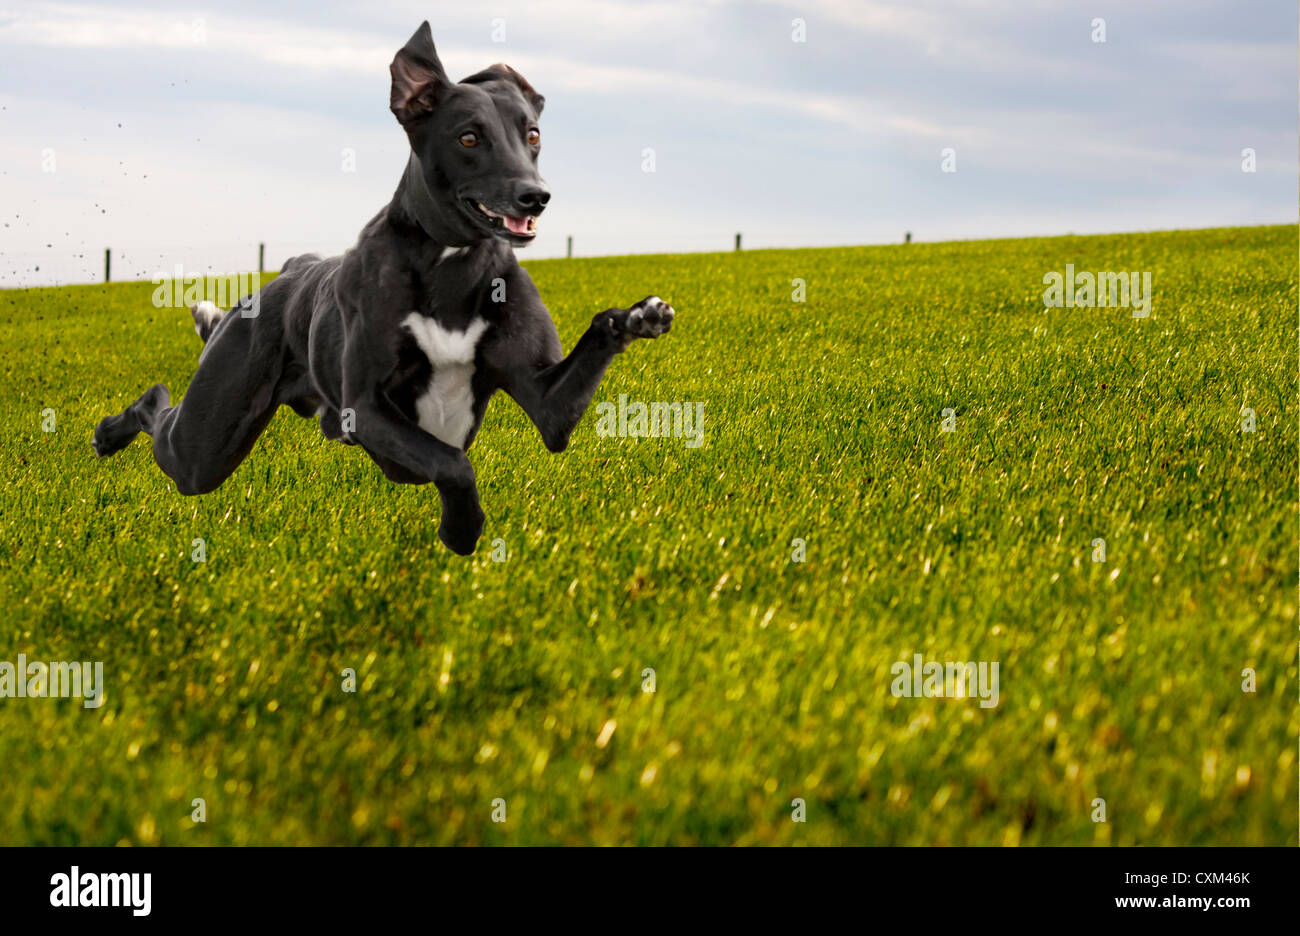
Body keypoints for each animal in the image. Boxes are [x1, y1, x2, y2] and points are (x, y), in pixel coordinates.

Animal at [96, 21, 676, 556]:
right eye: (469, 137)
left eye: (531, 135)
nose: (536, 196)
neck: (450, 266)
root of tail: (288, 270)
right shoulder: (368, 409)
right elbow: (453, 461)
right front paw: (462, 529)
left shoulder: (548, 405)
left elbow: (585, 354)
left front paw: (639, 316)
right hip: (205, 444)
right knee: (156, 409)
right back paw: (109, 432)